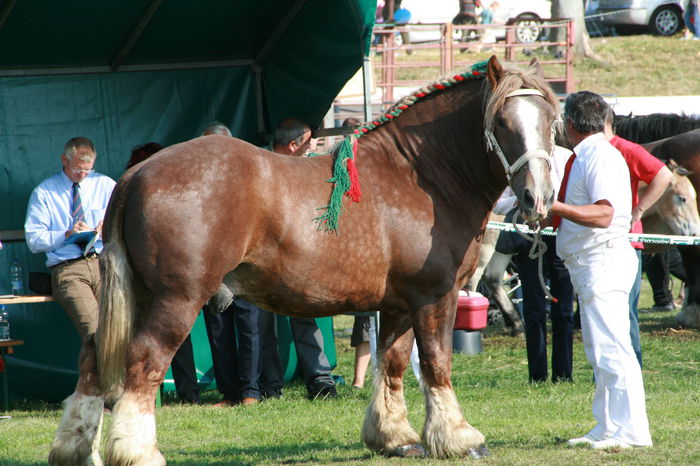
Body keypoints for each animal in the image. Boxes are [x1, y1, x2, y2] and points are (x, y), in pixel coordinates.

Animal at [47, 56, 556, 464]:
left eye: (549, 118)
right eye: (503, 122)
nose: (538, 197)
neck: (419, 177)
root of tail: (137, 174)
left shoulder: (396, 304)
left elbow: (391, 364)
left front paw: (393, 437)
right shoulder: (435, 295)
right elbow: (436, 364)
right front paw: (458, 437)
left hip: (137, 294)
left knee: (92, 358)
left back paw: (75, 449)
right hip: (176, 299)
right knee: (144, 361)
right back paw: (137, 451)